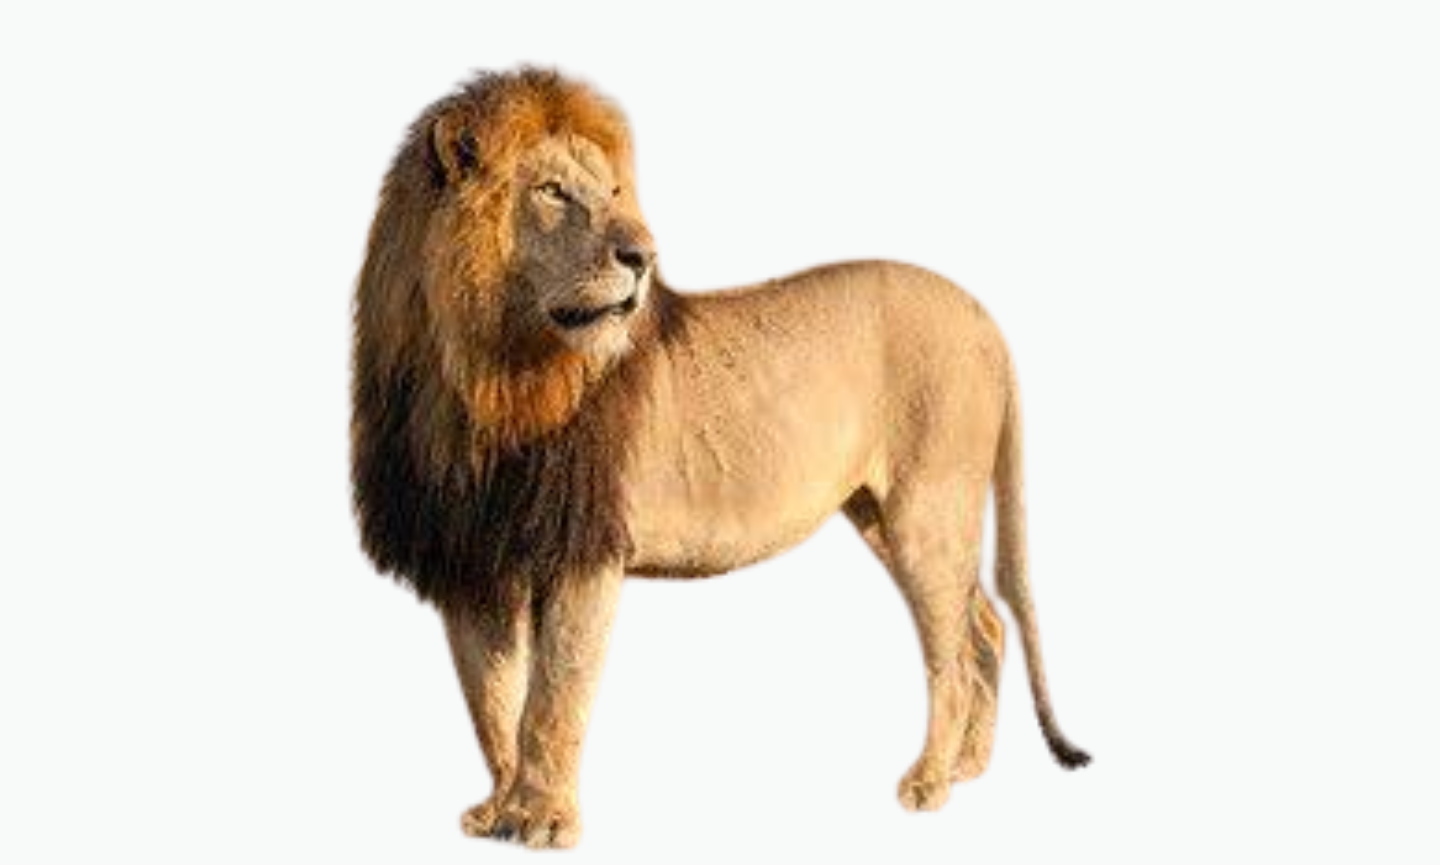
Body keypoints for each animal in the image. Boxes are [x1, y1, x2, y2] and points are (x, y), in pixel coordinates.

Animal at [351, 67, 1088, 849]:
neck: (485, 378)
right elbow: (490, 696)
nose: (642, 257)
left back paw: (929, 779)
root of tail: (985, 319)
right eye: (552, 191)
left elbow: (554, 696)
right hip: (883, 513)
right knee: (985, 624)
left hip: (930, 508)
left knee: (947, 646)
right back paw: (969, 766)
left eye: (614, 192)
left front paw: (545, 820)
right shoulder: (472, 555)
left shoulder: (586, 549)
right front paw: (498, 809)